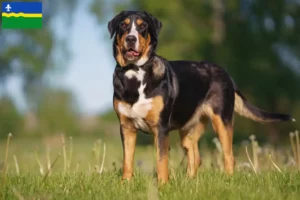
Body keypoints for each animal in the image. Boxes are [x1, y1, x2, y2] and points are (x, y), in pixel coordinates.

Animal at [106, 10, 294, 183]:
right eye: (123, 25)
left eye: (143, 26)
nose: (131, 39)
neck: (134, 74)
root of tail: (226, 74)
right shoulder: (126, 127)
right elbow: (127, 160)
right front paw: (125, 184)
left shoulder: (160, 128)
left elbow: (161, 160)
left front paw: (162, 185)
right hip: (188, 131)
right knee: (196, 158)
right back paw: (189, 182)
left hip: (222, 121)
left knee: (229, 157)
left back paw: (228, 180)